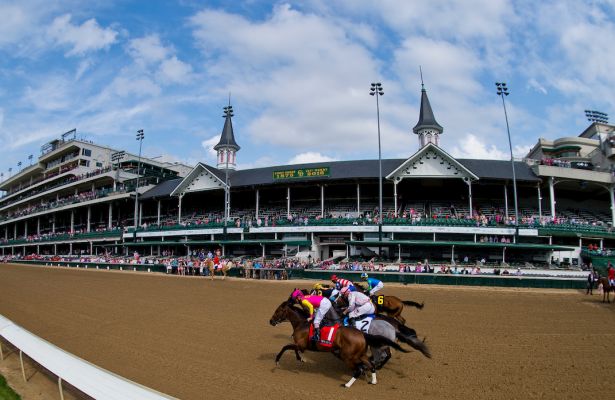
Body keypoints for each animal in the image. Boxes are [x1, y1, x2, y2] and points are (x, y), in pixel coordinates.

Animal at [270, 302, 410, 386]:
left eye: (277, 311)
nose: (271, 321)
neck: (302, 323)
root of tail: (362, 334)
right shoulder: (301, 346)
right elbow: (292, 348)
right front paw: (300, 358)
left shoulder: (301, 345)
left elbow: (287, 347)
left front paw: (278, 360)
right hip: (360, 354)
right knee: (371, 365)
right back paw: (373, 380)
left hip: (348, 356)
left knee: (360, 368)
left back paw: (347, 384)